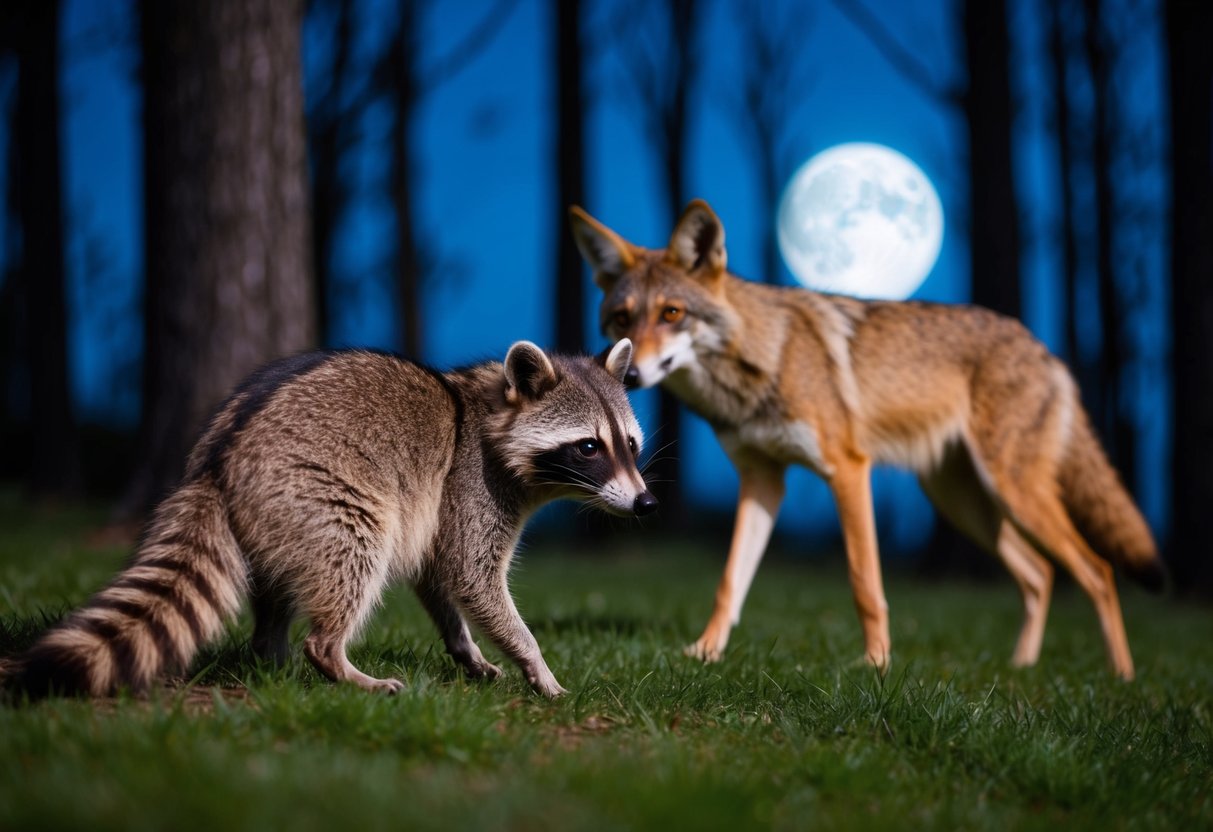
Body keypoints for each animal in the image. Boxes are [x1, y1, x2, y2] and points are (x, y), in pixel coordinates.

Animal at [9, 339, 654, 699]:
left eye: (629, 444)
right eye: (588, 448)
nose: (646, 505)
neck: (493, 408)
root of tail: (217, 463)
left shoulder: (440, 511)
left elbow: (437, 576)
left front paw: (465, 648)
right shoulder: (471, 484)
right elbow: (471, 574)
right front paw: (536, 664)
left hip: (276, 517)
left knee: (276, 593)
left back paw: (272, 656)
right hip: (322, 491)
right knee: (354, 555)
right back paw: (333, 660)